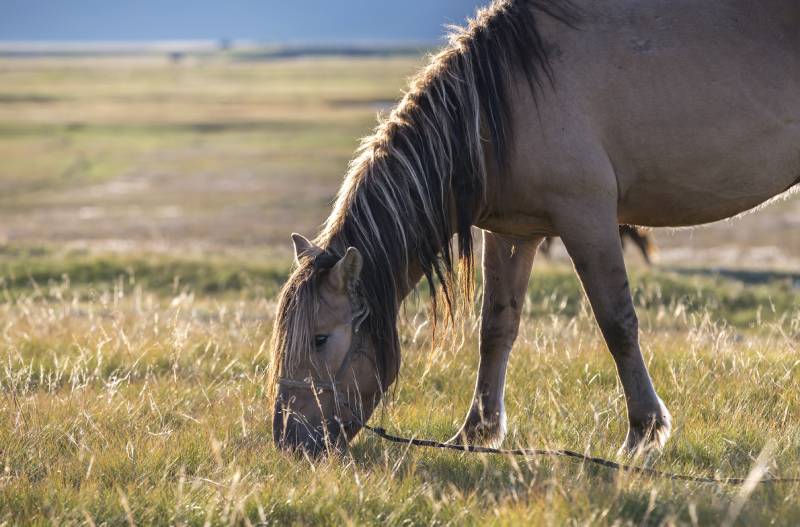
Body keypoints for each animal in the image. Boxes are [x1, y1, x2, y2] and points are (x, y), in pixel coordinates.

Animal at [270, 0, 800, 457]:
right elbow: (496, 328)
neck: (501, 104)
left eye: (320, 339)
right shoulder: (513, 233)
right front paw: (476, 433)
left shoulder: (587, 217)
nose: (289, 440)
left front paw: (643, 433)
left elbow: (617, 323)